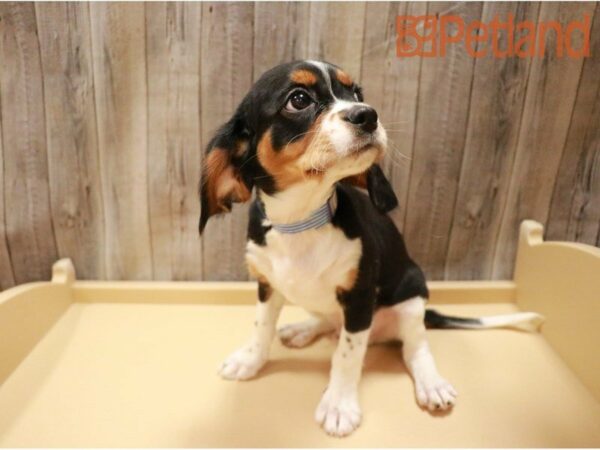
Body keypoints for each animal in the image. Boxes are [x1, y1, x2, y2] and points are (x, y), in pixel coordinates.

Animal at [198, 59, 544, 436]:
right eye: (299, 99)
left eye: (356, 93)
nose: (368, 115)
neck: (301, 221)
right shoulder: (267, 285)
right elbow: (261, 328)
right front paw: (250, 361)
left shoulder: (360, 295)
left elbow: (347, 356)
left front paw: (339, 404)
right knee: (328, 321)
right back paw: (303, 329)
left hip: (412, 298)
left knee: (415, 348)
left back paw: (431, 383)